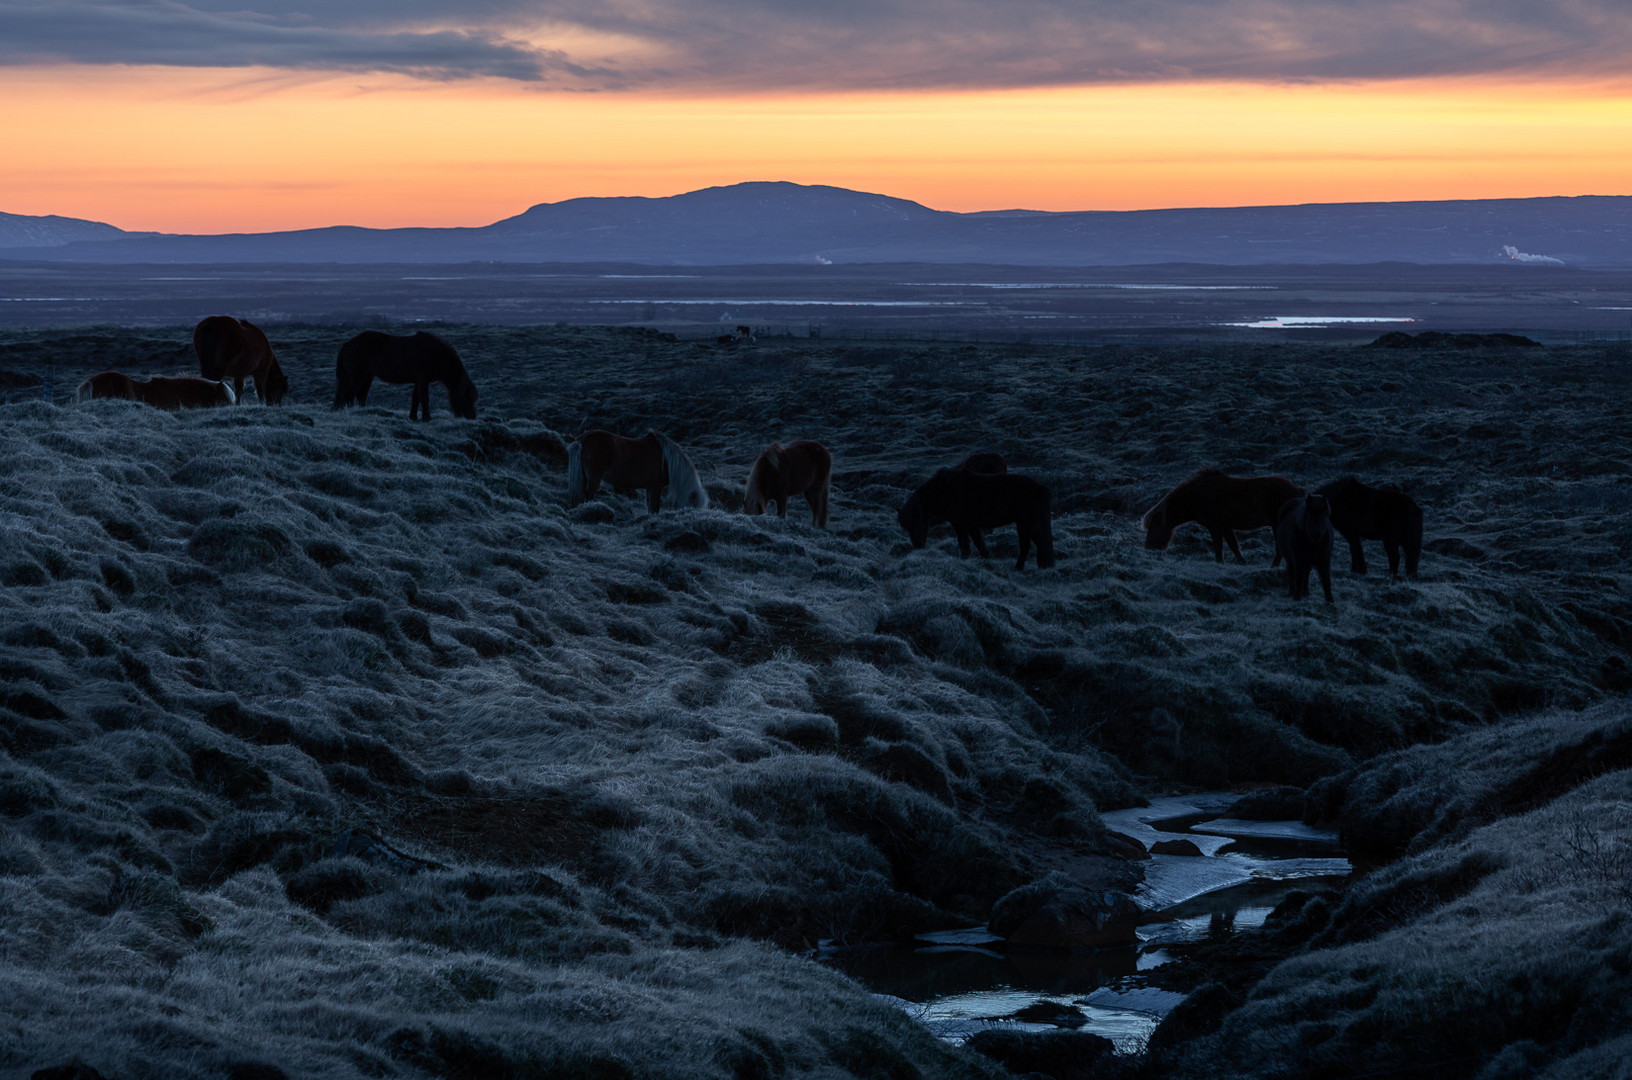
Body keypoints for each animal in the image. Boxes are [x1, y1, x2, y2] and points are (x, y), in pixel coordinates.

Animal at [332, 332, 476, 420]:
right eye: (467, 397)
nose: (472, 417)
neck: (437, 355)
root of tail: (347, 345)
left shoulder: (419, 381)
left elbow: (415, 398)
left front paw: (413, 417)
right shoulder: (423, 380)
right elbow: (424, 398)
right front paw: (426, 418)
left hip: (366, 376)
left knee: (359, 395)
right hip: (356, 376)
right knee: (349, 394)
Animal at [567, 430, 708, 515]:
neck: (667, 460)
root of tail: (582, 440)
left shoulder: (649, 487)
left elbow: (650, 506)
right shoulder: (655, 487)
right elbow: (655, 507)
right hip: (594, 477)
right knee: (588, 495)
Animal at [900, 466, 1051, 570]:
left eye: (915, 522)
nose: (918, 545)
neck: (942, 490)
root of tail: (1039, 487)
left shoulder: (963, 524)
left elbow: (970, 543)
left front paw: (974, 559)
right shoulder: (965, 525)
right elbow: (973, 543)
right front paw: (980, 560)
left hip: (1026, 523)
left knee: (1036, 543)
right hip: (1023, 524)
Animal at [1142, 466, 1305, 561]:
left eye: (1154, 527)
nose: (1148, 548)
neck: (1197, 495)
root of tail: (1297, 489)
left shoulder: (1214, 526)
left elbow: (1218, 548)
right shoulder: (1226, 527)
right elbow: (1234, 547)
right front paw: (1242, 563)